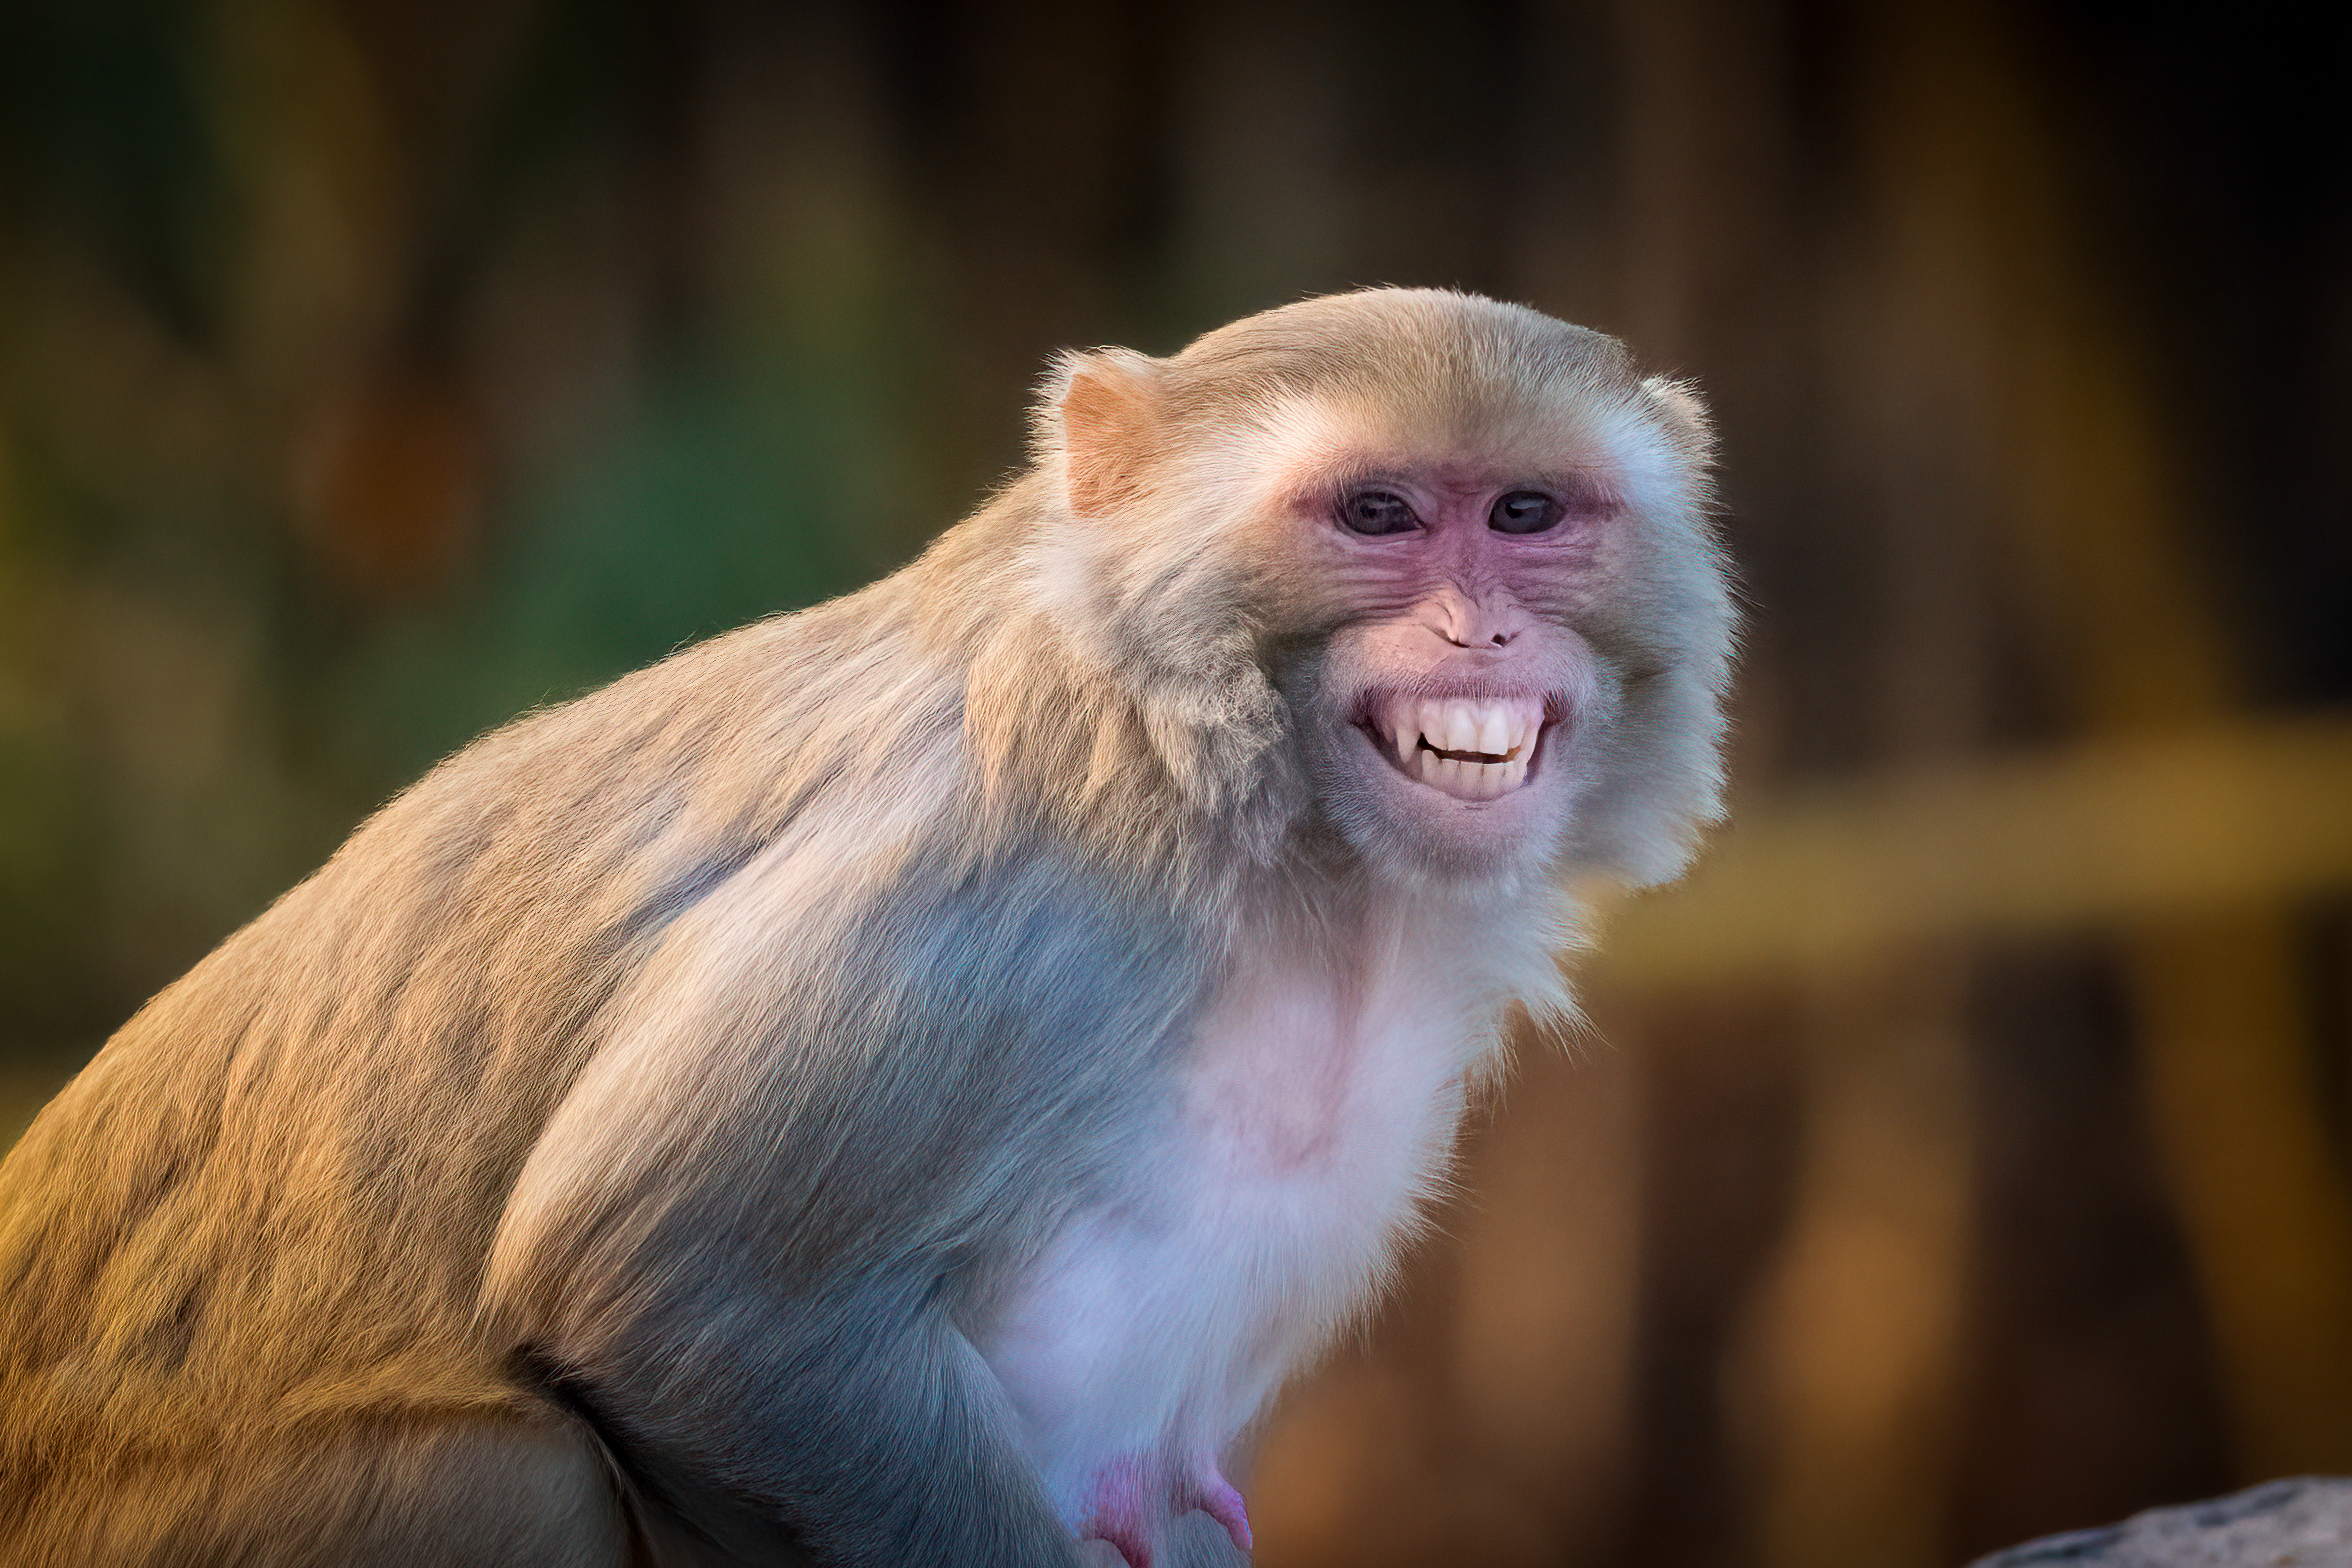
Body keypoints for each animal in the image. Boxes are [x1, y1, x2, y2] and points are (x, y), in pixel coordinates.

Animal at [0, 288, 1733, 1568]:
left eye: (1525, 512)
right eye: (1376, 511)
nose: (1479, 628)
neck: (1280, 833)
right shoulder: (1032, 878)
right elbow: (681, 1285)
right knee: (525, 1471)